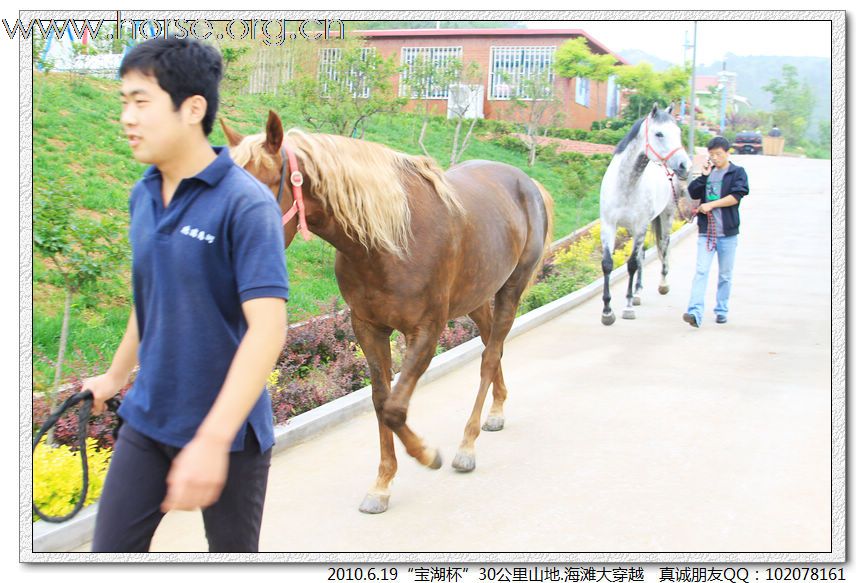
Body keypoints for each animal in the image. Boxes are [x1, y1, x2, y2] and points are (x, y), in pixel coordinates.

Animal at [219, 112, 552, 512]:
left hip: (510, 290)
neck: (390, 243)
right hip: (476, 297)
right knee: (492, 345)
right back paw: (497, 411)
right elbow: (381, 402)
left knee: (489, 357)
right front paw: (382, 484)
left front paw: (427, 454)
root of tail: (527, 182)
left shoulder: (426, 332)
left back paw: (467, 445)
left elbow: (395, 408)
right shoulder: (368, 327)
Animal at [596, 103, 692, 326]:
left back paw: (661, 285)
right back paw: (638, 292)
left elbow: (631, 264)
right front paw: (607, 311)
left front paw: (628, 307)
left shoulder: (640, 225)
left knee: (662, 247)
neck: (626, 185)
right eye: (659, 133)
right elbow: (607, 264)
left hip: (665, 217)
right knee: (641, 254)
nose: (685, 165)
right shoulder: (609, 225)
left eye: (679, 133)